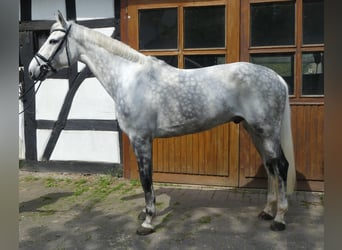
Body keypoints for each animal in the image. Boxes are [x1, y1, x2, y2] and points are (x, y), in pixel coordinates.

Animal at [28, 11, 296, 234]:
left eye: (53, 41)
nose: (32, 70)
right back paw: (267, 211)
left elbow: (146, 178)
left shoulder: (141, 139)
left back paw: (279, 219)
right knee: (270, 166)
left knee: (281, 165)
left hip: (266, 131)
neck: (129, 78)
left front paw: (147, 222)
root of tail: (276, 77)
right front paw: (145, 214)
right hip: (255, 131)